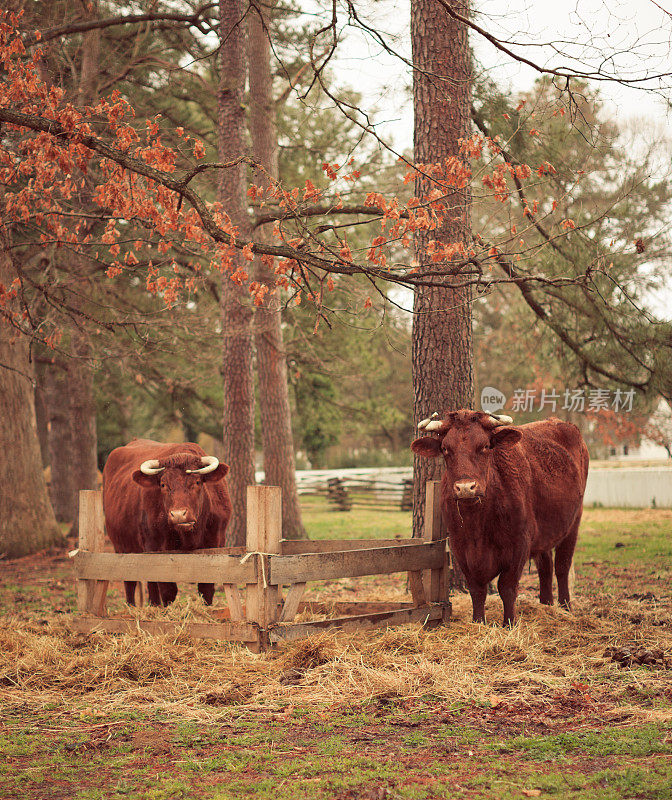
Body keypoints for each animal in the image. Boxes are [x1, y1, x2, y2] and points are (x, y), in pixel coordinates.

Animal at [101, 438, 231, 608]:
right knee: (133, 583)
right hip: (122, 547)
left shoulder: (215, 544)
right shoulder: (156, 548)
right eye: (163, 485)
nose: (178, 515)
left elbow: (206, 589)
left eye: (197, 482)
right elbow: (168, 590)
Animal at [410, 412, 588, 624]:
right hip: (544, 533)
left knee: (562, 566)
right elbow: (477, 590)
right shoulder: (459, 547)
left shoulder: (519, 544)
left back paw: (565, 607)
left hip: (573, 522)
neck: (477, 525)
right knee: (546, 566)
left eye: (485, 446)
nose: (465, 487)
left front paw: (509, 623)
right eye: (445, 448)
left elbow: (507, 587)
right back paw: (546, 604)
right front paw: (478, 621)